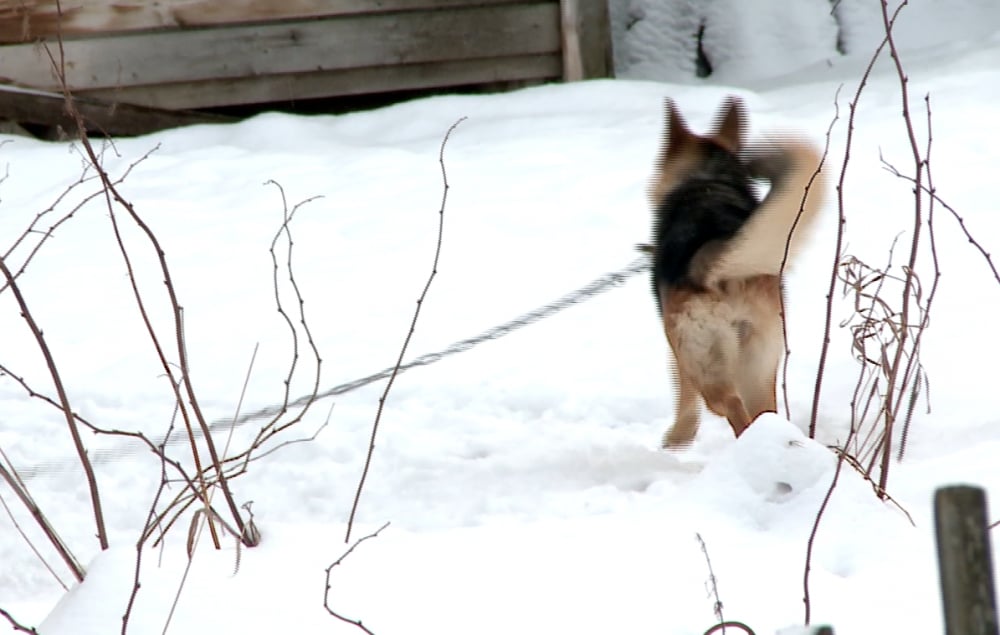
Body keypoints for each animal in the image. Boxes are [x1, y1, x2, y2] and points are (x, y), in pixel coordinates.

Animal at [648, 97, 828, 450]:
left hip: (709, 363)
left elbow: (683, 394)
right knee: (764, 412)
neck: (706, 180)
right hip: (760, 363)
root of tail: (723, 273)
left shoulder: (678, 352)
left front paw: (677, 438)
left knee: (731, 406)